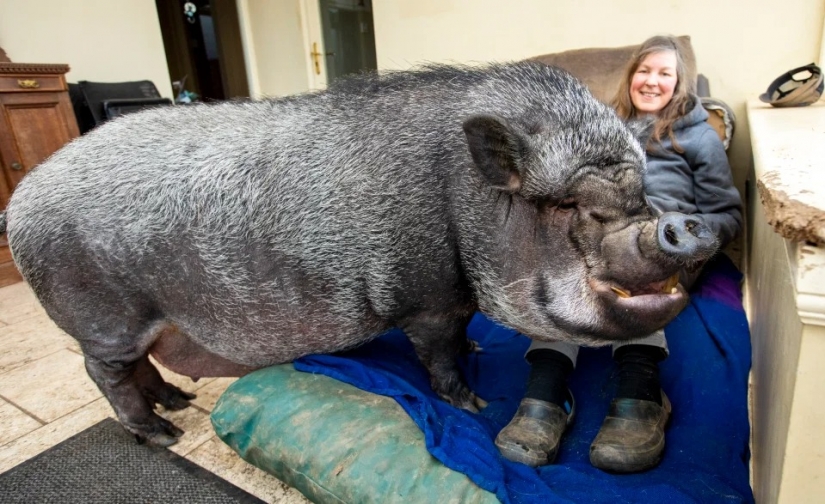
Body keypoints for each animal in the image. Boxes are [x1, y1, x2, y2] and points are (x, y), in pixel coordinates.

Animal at [2, 61, 717, 446]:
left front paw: (480, 350)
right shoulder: (426, 300)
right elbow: (437, 355)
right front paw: (476, 407)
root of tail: (23, 198)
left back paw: (177, 406)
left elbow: (461, 338)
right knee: (106, 374)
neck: (462, 198)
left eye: (639, 191)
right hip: (104, 317)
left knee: (142, 367)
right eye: (567, 205)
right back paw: (166, 433)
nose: (685, 227)